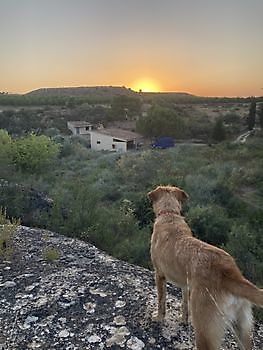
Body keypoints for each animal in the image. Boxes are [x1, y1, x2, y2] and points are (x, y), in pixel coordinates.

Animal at [148, 185, 263, 348]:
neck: (169, 214)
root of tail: (230, 273)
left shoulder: (159, 274)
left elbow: (161, 301)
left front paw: (158, 319)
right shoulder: (185, 285)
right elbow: (184, 305)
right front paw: (183, 320)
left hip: (205, 327)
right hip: (241, 328)